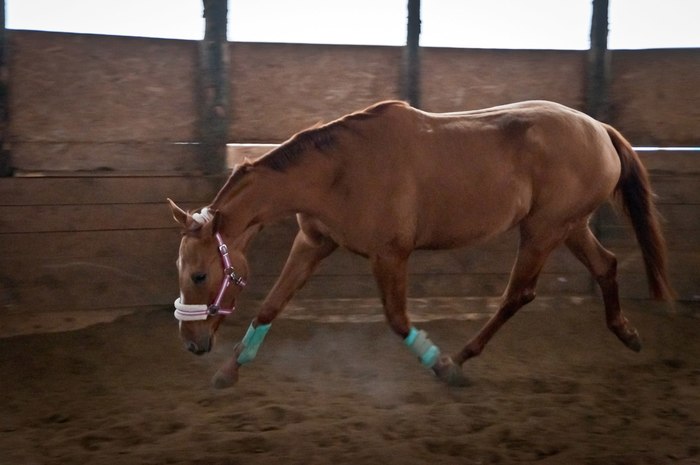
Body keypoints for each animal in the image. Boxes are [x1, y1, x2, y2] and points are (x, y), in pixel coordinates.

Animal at [168, 100, 672, 388]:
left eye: (200, 274)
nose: (191, 344)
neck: (338, 171)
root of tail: (600, 129)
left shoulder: (390, 255)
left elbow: (397, 319)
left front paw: (439, 365)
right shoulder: (313, 242)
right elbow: (271, 305)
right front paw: (230, 370)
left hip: (543, 230)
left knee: (518, 294)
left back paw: (461, 358)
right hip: (568, 226)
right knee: (606, 265)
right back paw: (627, 334)